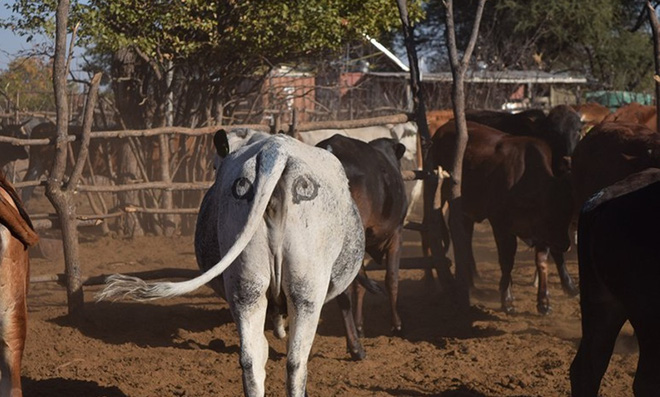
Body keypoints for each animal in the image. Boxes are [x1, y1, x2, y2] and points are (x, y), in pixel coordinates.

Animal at [430, 120, 576, 312]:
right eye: (550, 214)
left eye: (568, 213)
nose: (565, 245)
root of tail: (443, 127)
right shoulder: (501, 225)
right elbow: (507, 260)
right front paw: (506, 299)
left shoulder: (541, 234)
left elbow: (542, 261)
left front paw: (544, 301)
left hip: (467, 211)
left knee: (465, 238)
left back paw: (472, 279)